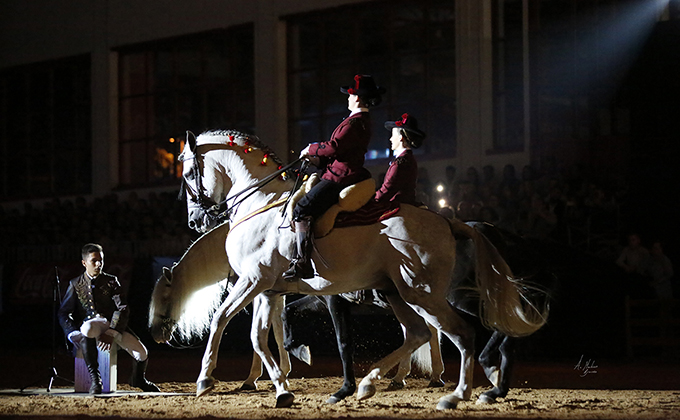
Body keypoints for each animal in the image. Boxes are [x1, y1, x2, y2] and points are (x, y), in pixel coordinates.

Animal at [157, 130, 544, 410]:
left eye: (188, 173)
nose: (195, 221)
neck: (261, 206)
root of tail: (449, 222)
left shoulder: (256, 283)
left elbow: (223, 320)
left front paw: (205, 380)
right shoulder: (268, 290)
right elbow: (261, 336)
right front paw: (281, 387)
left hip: (423, 293)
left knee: (463, 333)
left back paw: (458, 393)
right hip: (402, 294)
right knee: (422, 332)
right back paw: (376, 383)